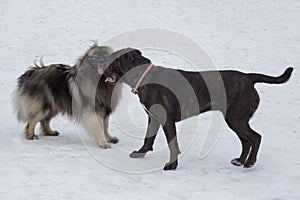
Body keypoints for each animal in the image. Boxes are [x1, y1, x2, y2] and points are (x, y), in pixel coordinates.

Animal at [103, 48, 292, 170]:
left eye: (113, 60)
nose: (100, 65)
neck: (146, 77)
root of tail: (249, 78)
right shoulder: (153, 118)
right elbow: (148, 139)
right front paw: (140, 153)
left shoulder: (167, 120)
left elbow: (172, 144)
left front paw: (172, 165)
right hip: (236, 120)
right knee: (246, 140)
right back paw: (240, 161)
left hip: (236, 119)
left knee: (256, 137)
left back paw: (250, 162)